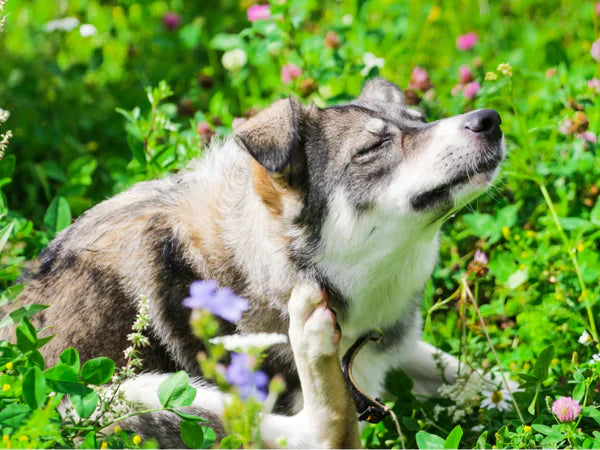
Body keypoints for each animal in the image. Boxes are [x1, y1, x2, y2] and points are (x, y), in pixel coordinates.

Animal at [2, 78, 504, 446]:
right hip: (119, 398)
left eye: (421, 120)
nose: (490, 119)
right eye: (372, 149)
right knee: (321, 435)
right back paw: (311, 339)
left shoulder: (390, 351)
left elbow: (482, 378)